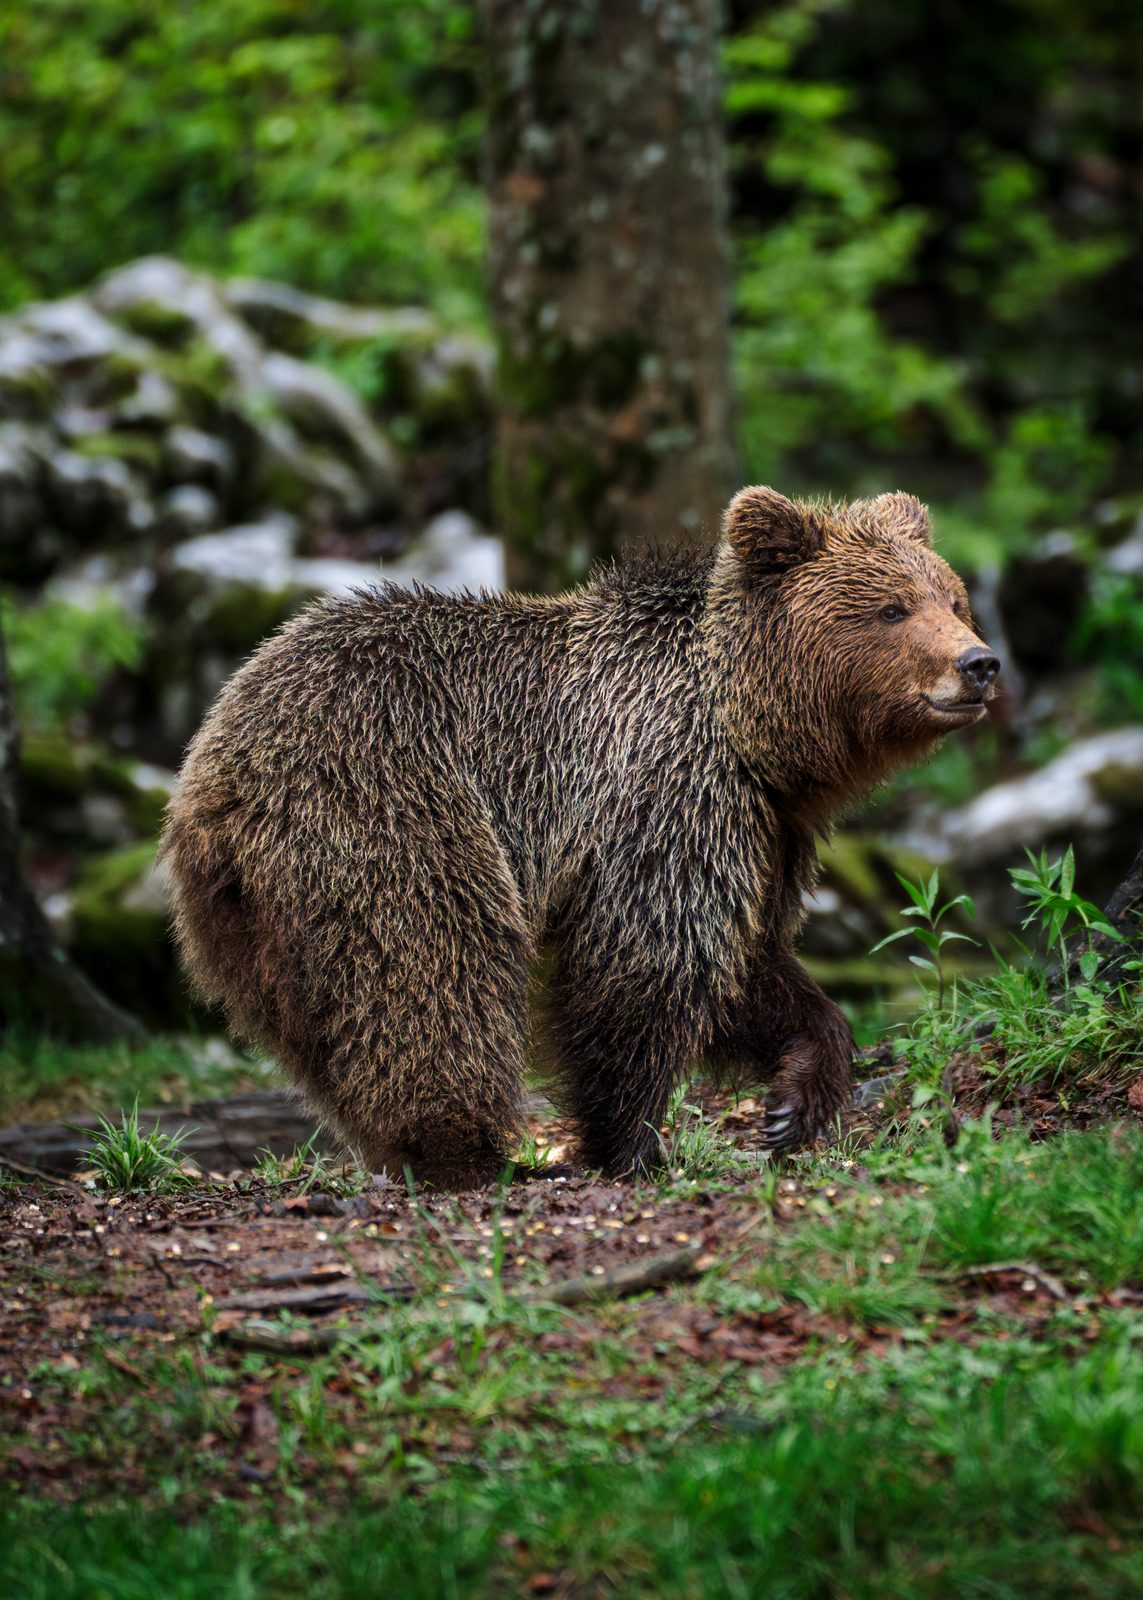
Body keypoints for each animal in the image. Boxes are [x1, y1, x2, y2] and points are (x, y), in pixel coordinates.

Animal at [162, 486, 1000, 1187]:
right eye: (891, 609)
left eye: (952, 597)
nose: (979, 663)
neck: (753, 732)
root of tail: (212, 766)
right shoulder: (664, 788)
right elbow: (650, 958)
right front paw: (629, 1144)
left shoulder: (766, 829)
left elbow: (748, 962)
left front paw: (795, 1101)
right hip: (387, 804)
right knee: (431, 969)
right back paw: (467, 1151)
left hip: (249, 916)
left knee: (318, 1021)